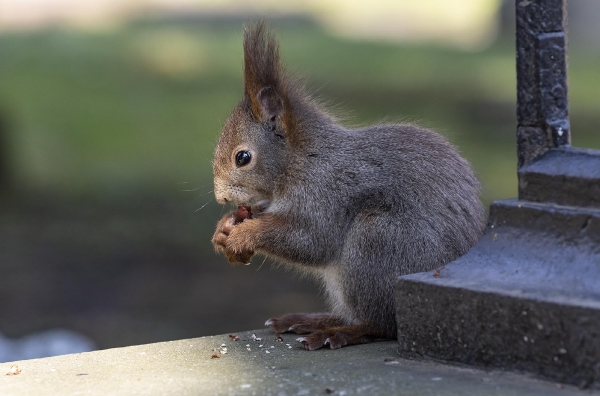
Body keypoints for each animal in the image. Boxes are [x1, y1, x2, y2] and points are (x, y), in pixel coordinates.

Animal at [209, 22, 486, 350]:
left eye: (242, 157)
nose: (220, 196)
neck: (301, 161)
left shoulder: (329, 192)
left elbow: (311, 241)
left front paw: (244, 234)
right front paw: (224, 229)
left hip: (379, 241)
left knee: (383, 325)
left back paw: (338, 332)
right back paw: (311, 320)